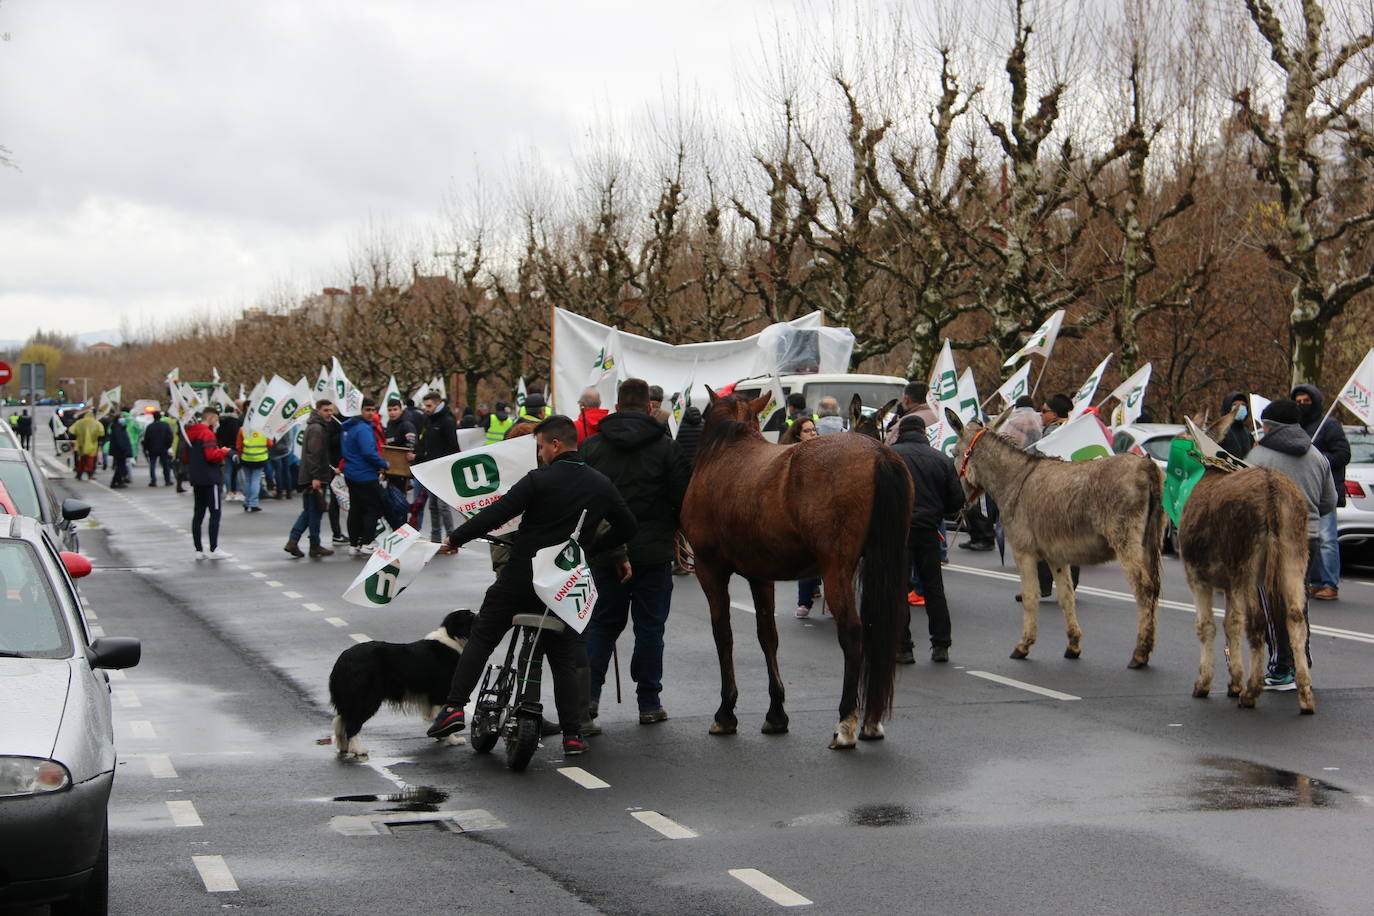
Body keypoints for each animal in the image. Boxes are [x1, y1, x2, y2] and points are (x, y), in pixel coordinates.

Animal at [678, 390, 912, 747]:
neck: (723, 451)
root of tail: (878, 453)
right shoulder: (760, 576)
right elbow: (768, 636)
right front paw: (776, 713)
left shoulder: (709, 569)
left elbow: (724, 635)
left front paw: (725, 712)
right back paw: (870, 721)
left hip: (836, 568)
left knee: (852, 631)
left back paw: (846, 722)